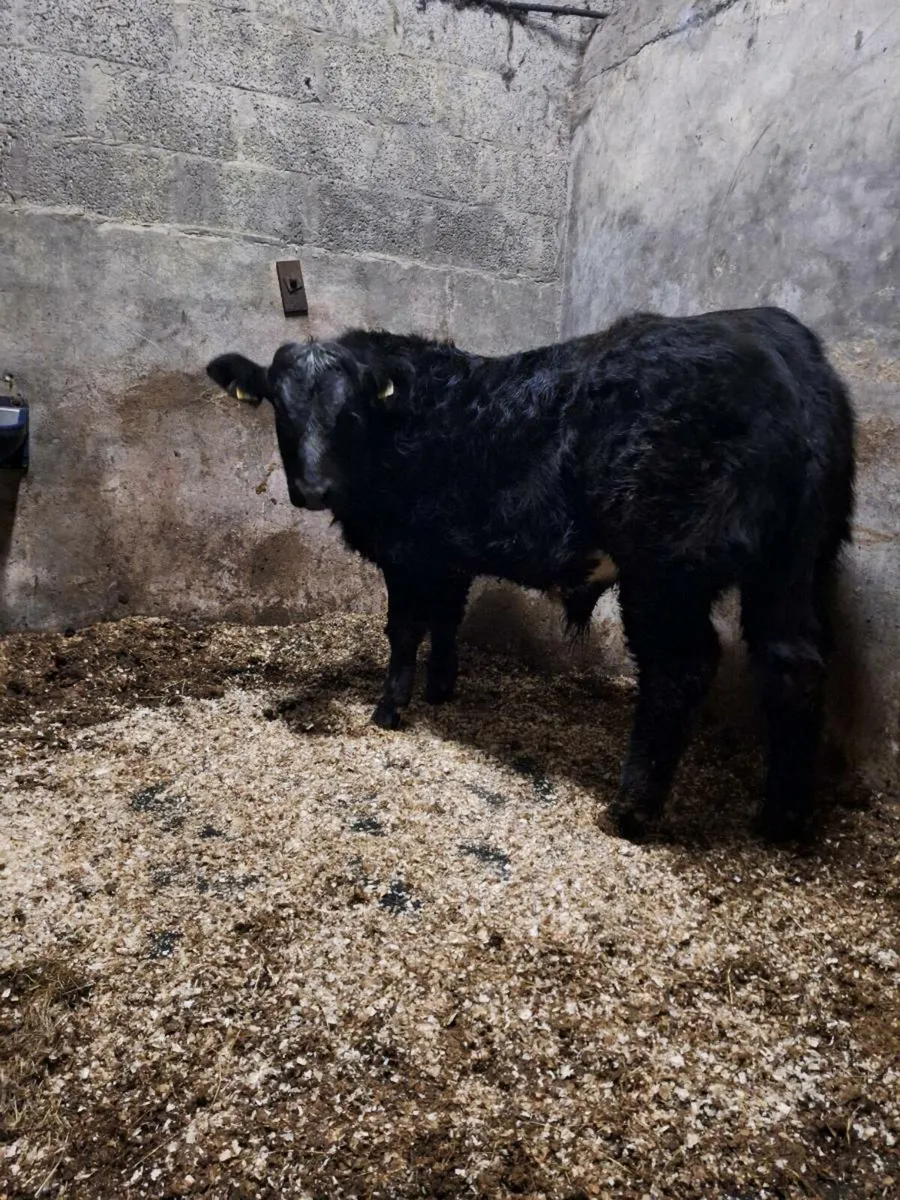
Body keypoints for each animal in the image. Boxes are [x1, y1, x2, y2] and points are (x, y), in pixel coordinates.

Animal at [206, 307, 855, 843]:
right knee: (793, 663)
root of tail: (773, 339)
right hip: (795, 561)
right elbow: (448, 618)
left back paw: (629, 811)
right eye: (282, 409)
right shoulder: (449, 552)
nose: (314, 489)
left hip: (666, 570)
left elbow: (405, 629)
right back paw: (780, 820)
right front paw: (441, 689)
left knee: (681, 669)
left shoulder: (407, 551)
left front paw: (389, 710)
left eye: (350, 412)